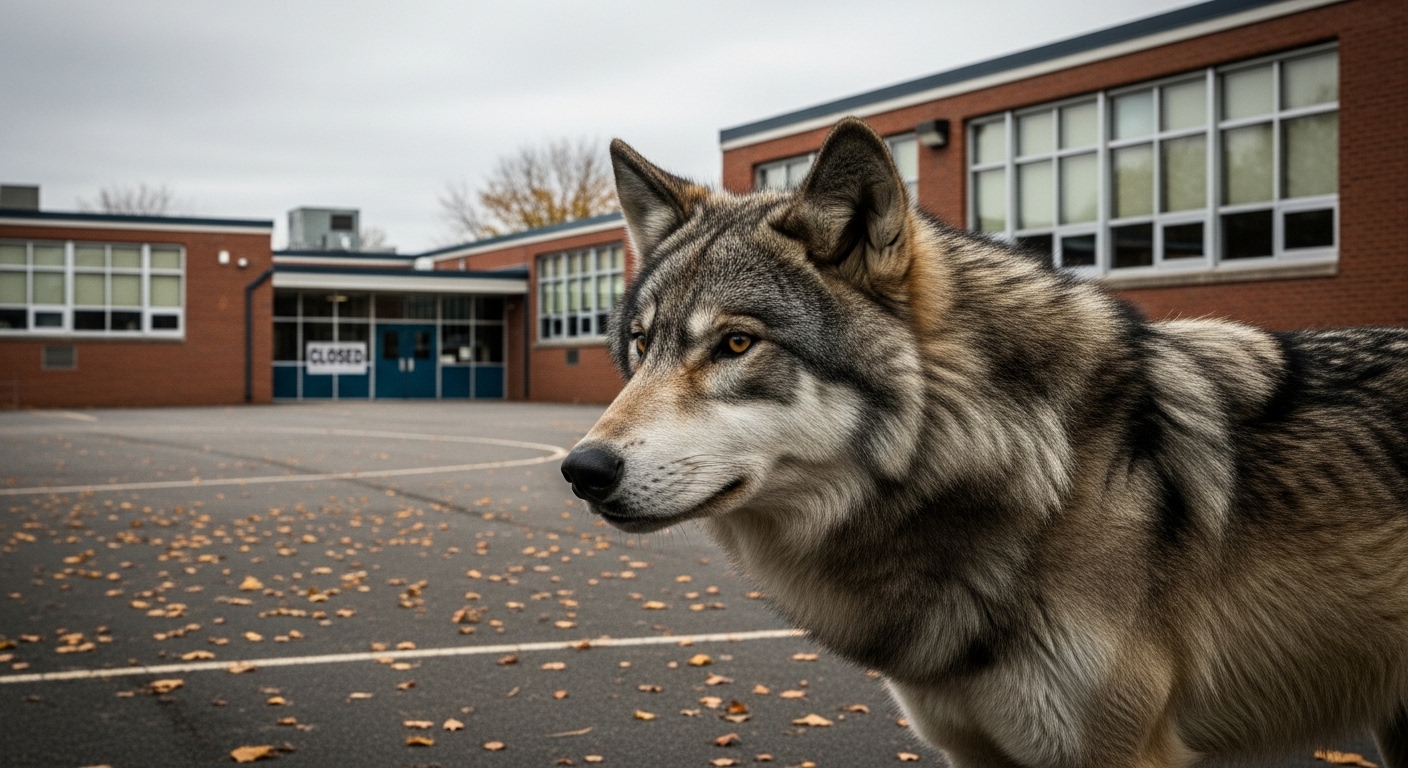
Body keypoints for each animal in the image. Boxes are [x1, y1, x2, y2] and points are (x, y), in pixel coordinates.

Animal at [560, 117, 1408, 768]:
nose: (581, 469)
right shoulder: (972, 747)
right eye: (642, 345)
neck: (1050, 472)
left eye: (736, 344)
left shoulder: (1117, 752)